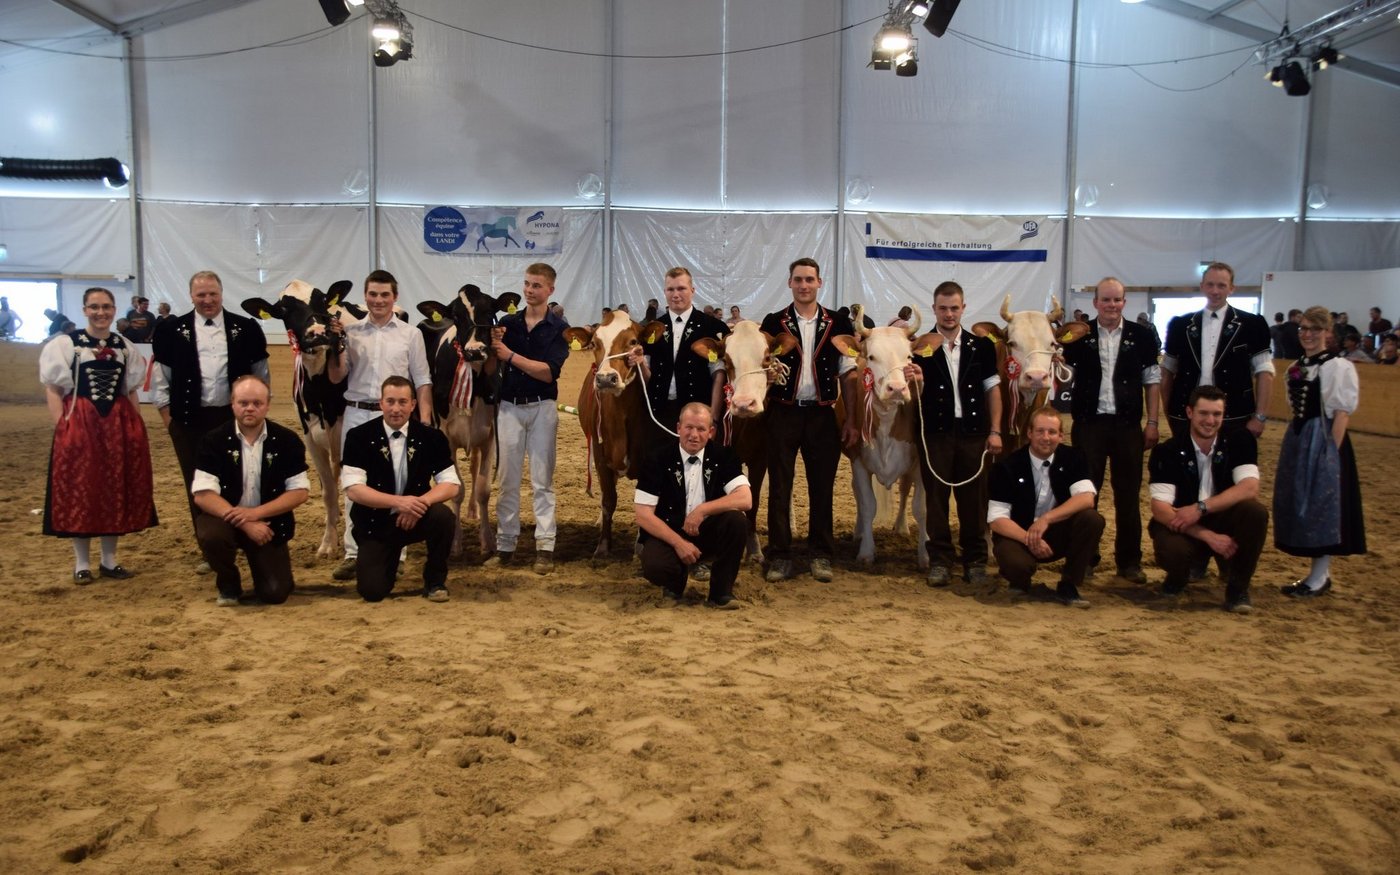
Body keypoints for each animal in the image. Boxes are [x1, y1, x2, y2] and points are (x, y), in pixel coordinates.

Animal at [416, 284, 521, 558]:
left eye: (490, 311)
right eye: (457, 316)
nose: (474, 350)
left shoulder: (490, 435)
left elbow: (483, 488)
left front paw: (488, 541)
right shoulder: (446, 437)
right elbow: (457, 489)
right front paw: (455, 543)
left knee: (473, 469)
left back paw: (473, 511)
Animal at [563, 311, 650, 561]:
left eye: (633, 342)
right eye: (594, 343)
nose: (605, 378)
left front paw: (640, 548)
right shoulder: (601, 455)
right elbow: (608, 500)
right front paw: (602, 547)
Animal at [690, 320, 799, 565]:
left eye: (767, 357)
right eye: (727, 361)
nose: (743, 404)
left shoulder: (761, 458)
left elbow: (754, 500)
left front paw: (754, 549)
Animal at [831, 305, 929, 569]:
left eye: (909, 358)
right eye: (872, 357)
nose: (897, 389)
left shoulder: (919, 460)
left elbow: (920, 507)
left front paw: (924, 555)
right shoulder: (858, 460)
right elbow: (867, 505)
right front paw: (866, 551)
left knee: (905, 490)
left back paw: (904, 528)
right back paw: (859, 532)